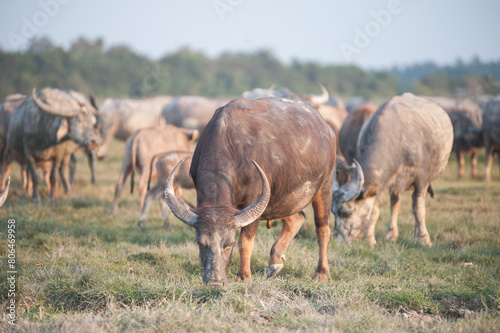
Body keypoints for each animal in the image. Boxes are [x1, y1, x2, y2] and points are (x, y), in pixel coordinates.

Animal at [165, 96, 336, 286]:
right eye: (201, 244)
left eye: (228, 244)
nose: (215, 282)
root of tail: (327, 129)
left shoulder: (253, 199)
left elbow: (246, 242)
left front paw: (243, 275)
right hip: (281, 197)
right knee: (297, 219)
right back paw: (275, 263)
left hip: (324, 186)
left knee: (322, 229)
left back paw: (321, 272)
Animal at [332, 93, 454, 246]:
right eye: (333, 212)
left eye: (344, 212)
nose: (338, 239)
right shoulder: (379, 184)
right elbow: (374, 211)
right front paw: (369, 239)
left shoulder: (421, 180)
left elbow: (418, 209)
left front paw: (424, 238)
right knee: (396, 203)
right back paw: (392, 234)